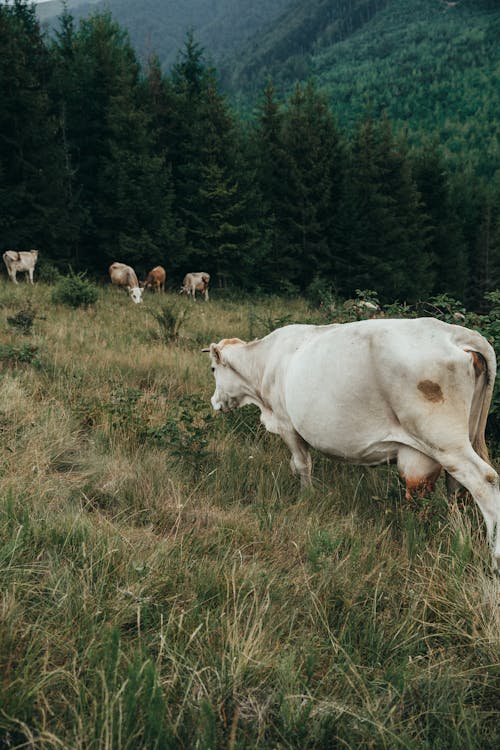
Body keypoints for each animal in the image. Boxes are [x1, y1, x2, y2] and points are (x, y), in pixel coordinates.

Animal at [203, 320, 500, 572]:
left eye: (213, 369)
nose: (214, 402)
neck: (265, 363)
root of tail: (455, 332)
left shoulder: (288, 425)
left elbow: (302, 465)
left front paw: (306, 497)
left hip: (445, 441)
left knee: (484, 481)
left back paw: (495, 556)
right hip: (462, 438)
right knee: (456, 489)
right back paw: (456, 533)